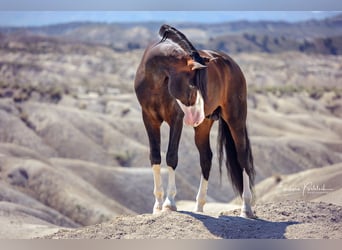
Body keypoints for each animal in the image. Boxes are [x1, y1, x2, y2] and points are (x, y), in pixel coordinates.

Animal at [135, 24, 255, 218]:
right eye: (192, 87)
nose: (196, 117)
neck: (156, 82)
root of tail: (233, 65)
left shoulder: (176, 120)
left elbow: (171, 157)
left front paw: (169, 203)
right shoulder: (149, 118)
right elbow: (155, 157)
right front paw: (157, 206)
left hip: (235, 119)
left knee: (242, 157)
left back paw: (246, 208)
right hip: (204, 127)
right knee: (206, 158)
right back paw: (199, 207)